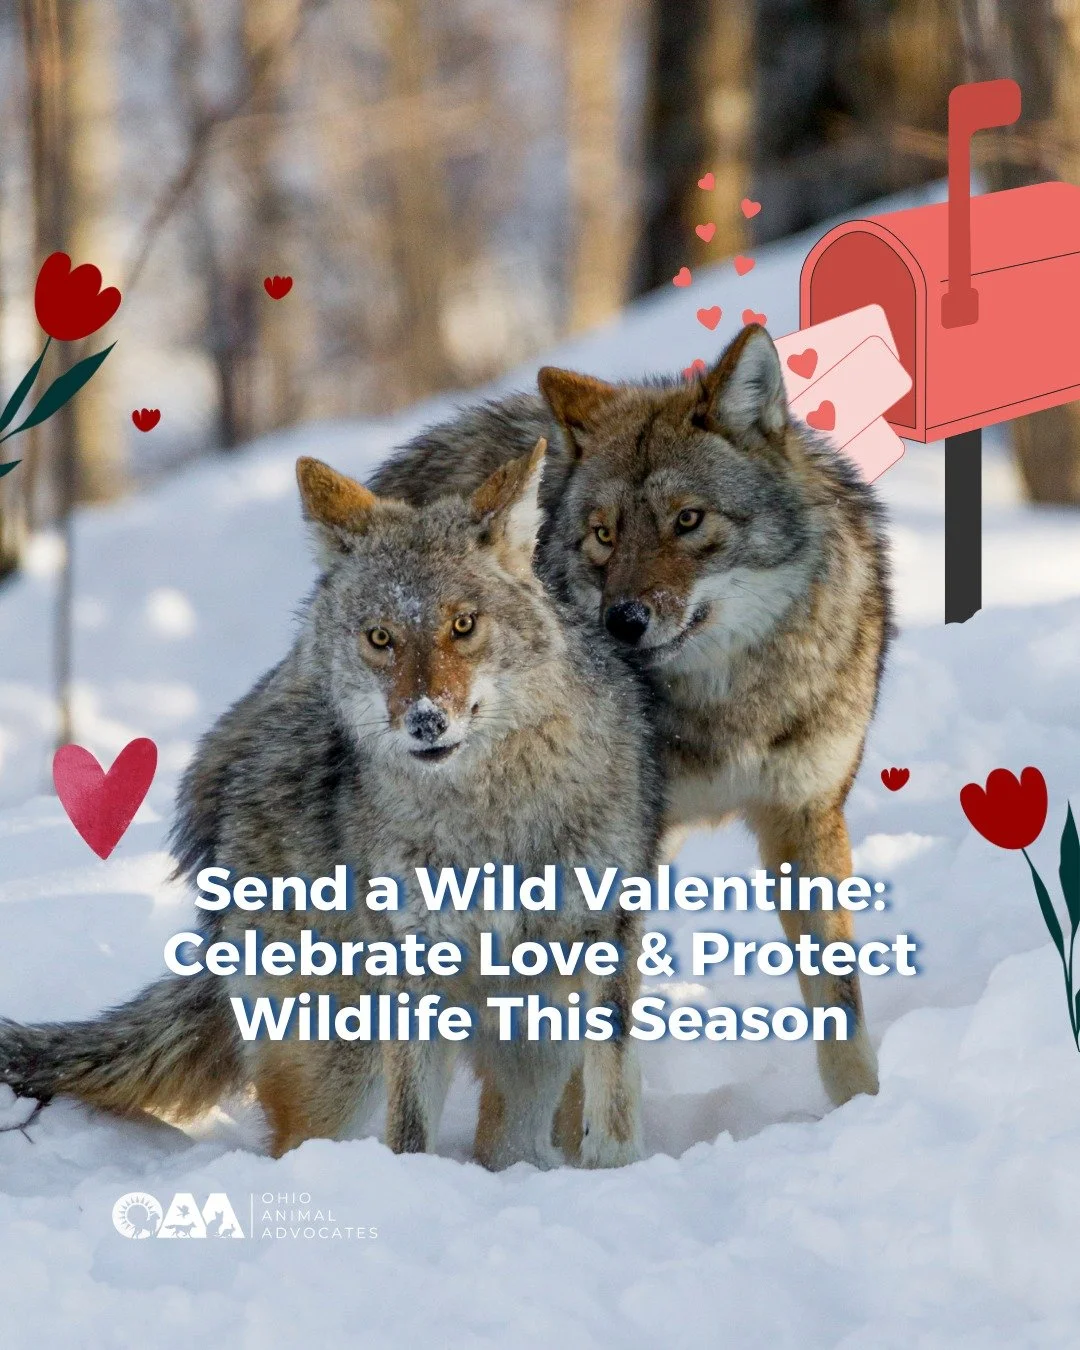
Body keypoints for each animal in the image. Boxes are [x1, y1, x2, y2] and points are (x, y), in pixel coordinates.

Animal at [0, 441, 663, 1167]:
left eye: (463, 625)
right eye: (380, 637)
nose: (425, 721)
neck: (488, 820)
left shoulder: (604, 939)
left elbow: (614, 1096)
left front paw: (613, 1170)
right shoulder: (414, 969)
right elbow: (409, 1131)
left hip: (533, 1042)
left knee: (512, 1138)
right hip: (346, 1065)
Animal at [371, 323, 891, 1109]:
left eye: (688, 520)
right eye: (604, 534)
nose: (623, 621)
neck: (724, 706)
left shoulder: (805, 817)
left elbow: (841, 1013)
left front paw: (863, 1112)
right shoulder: (617, 854)